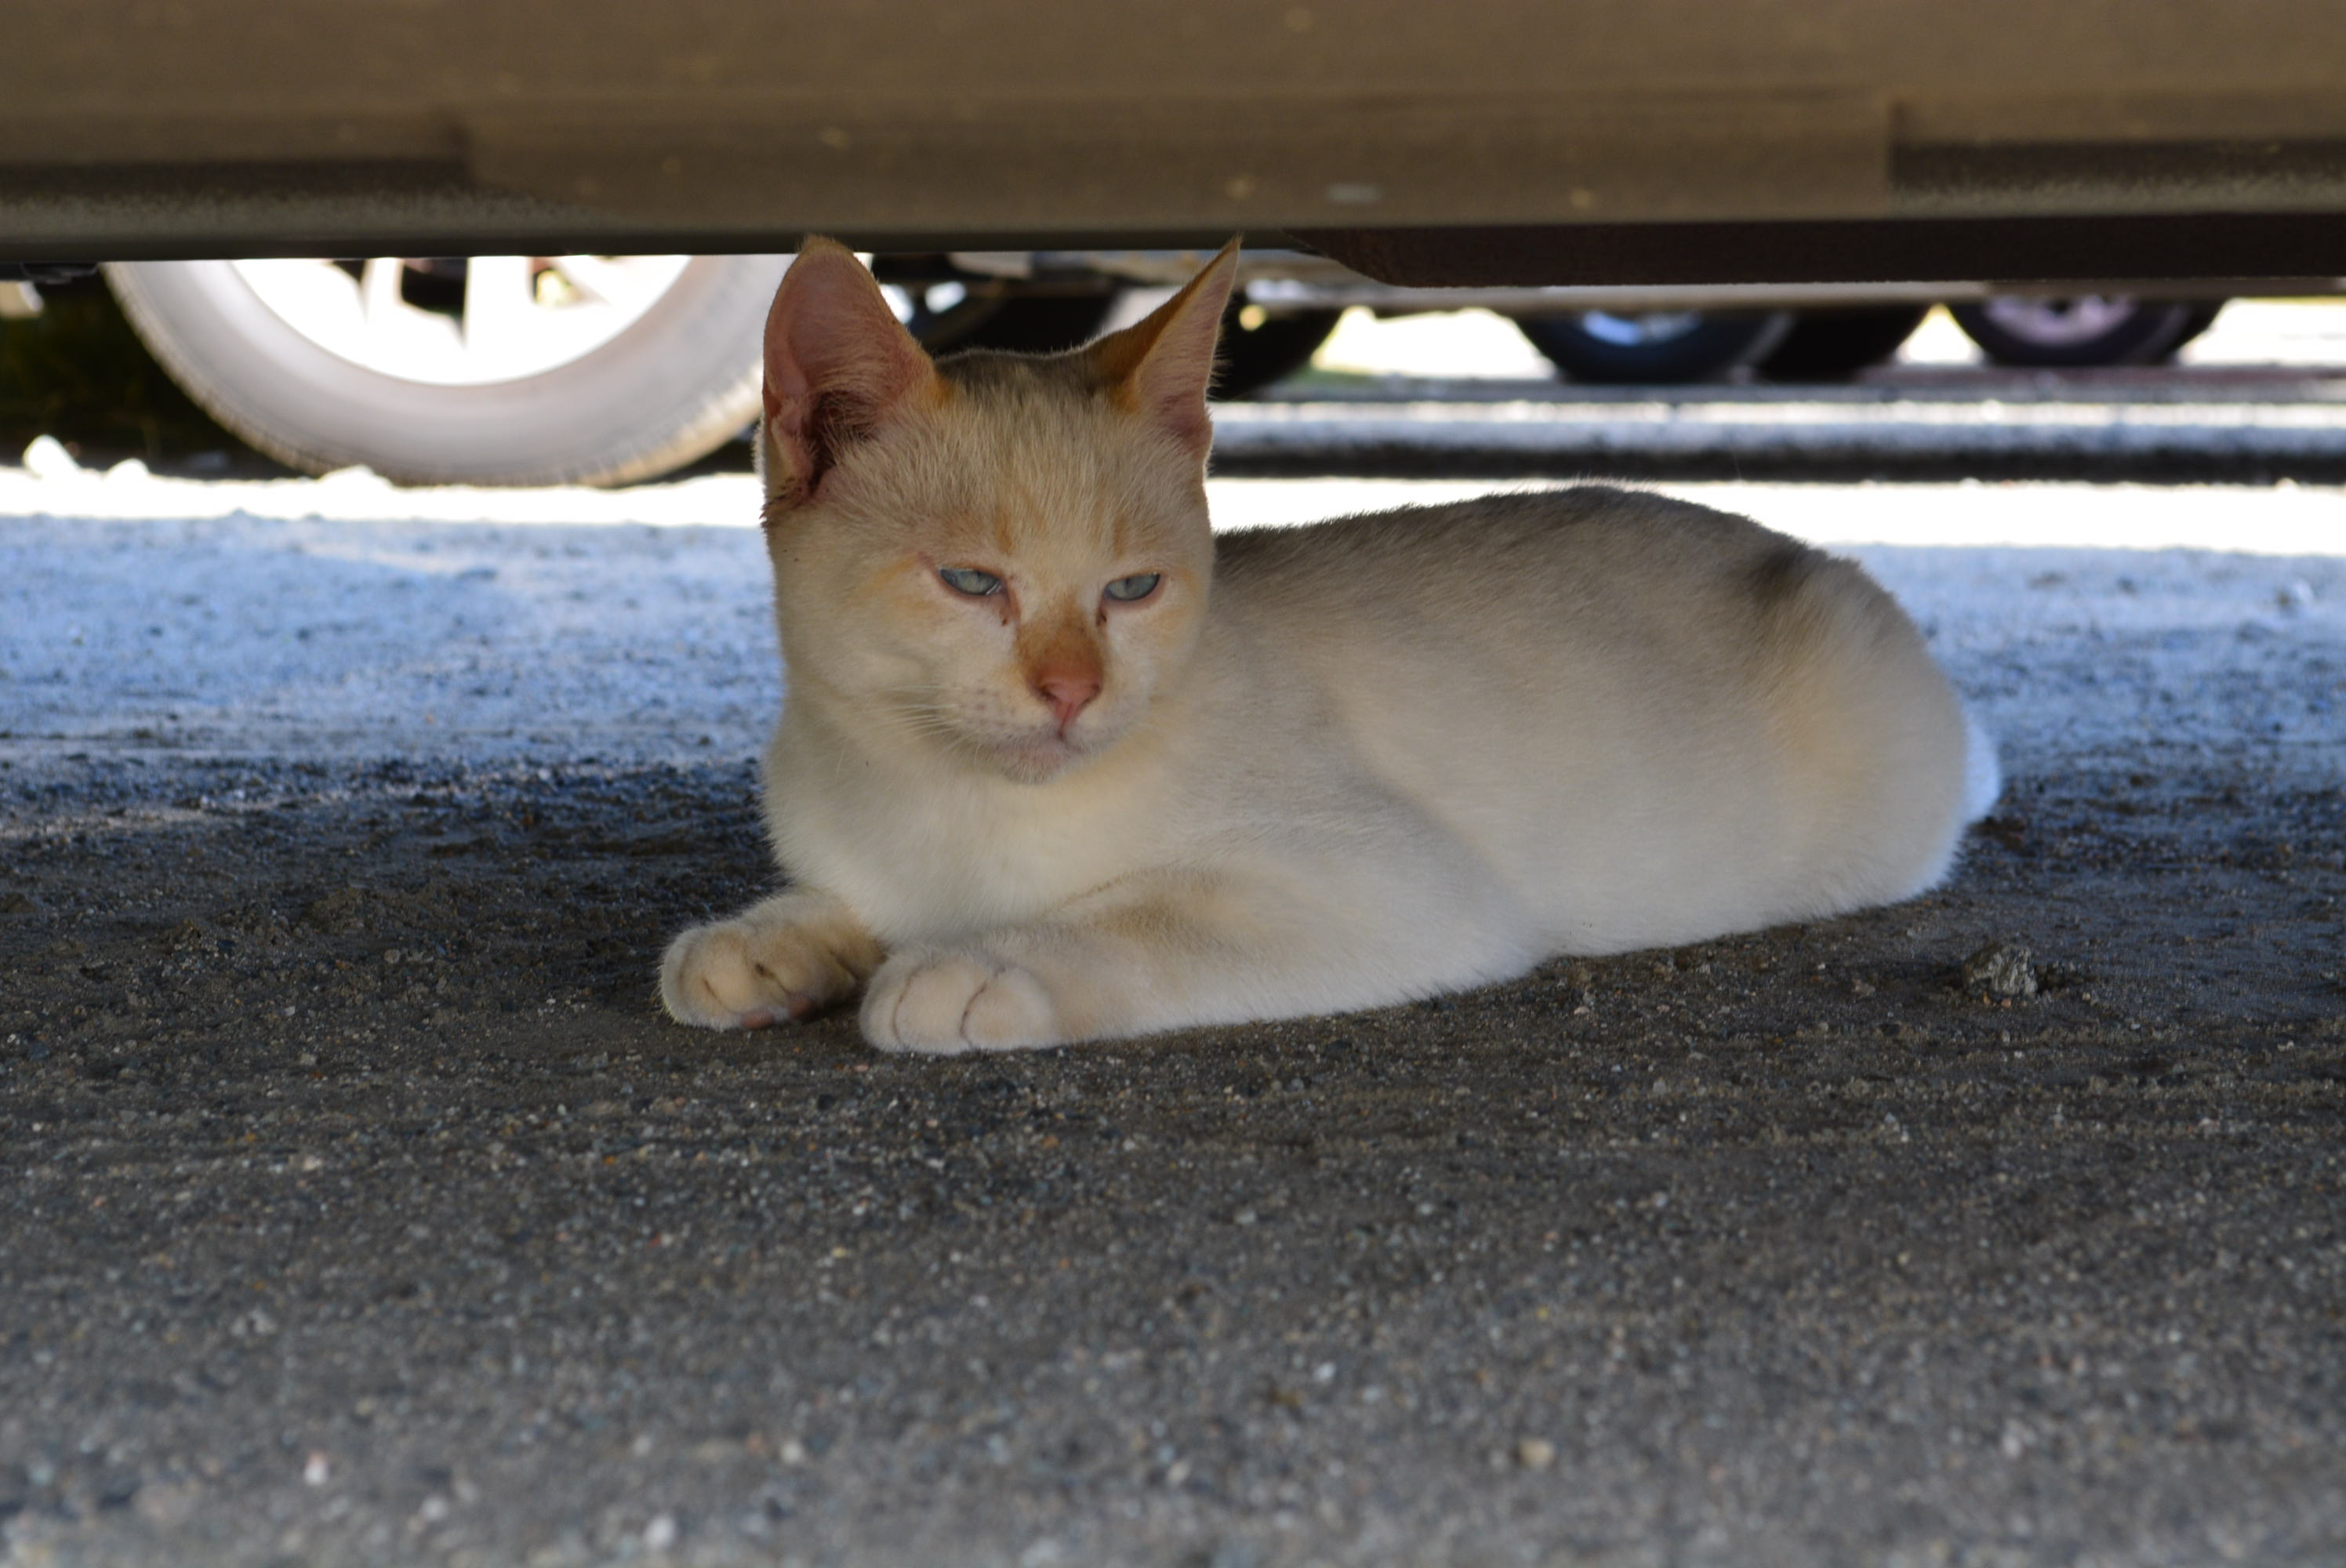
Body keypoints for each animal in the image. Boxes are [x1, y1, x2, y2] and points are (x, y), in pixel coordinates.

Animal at [661, 241, 1999, 1051]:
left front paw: (974, 969)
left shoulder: (1397, 885)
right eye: (972, 583)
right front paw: (762, 943)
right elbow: (841, 904)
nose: (1072, 691)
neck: (934, 802)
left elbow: (1131, 920)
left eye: (1133, 590)